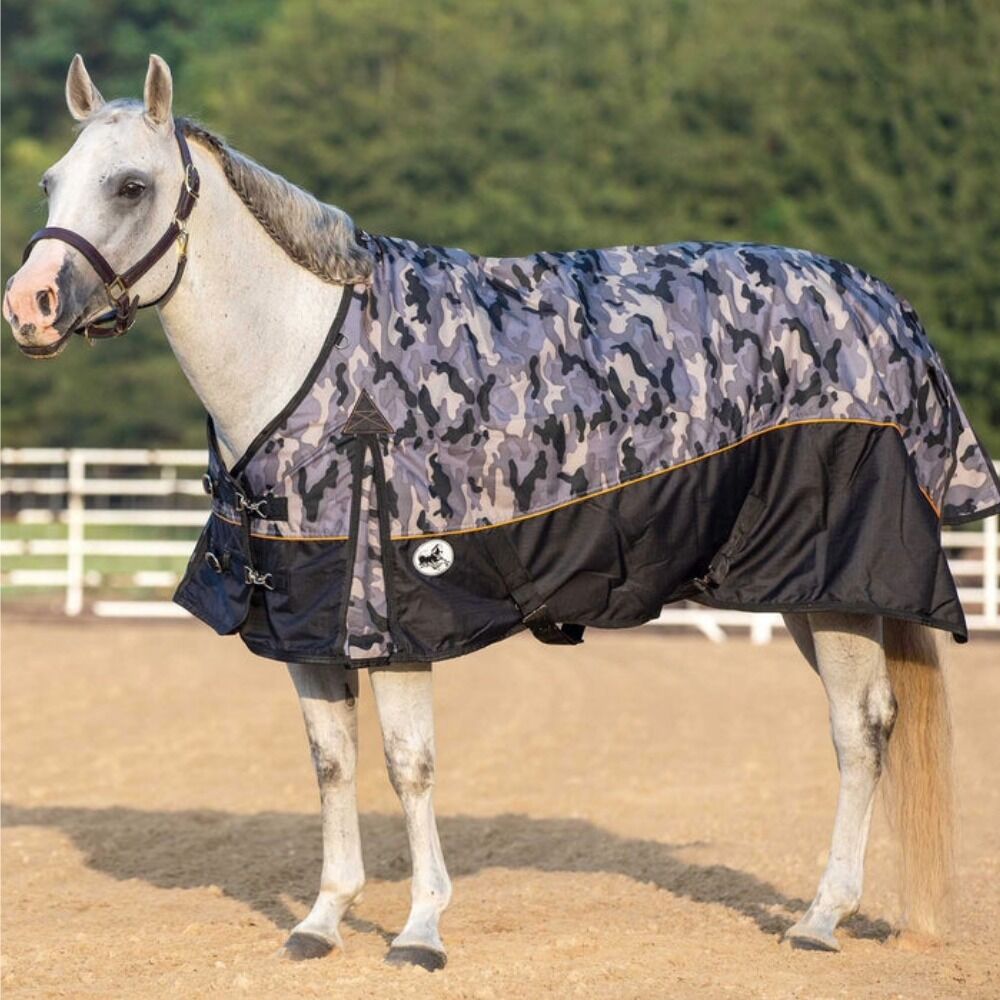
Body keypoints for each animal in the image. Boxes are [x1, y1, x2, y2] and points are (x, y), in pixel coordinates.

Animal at [5, 53, 987, 968]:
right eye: (52, 180)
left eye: (131, 186)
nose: (29, 306)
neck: (311, 361)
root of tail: (887, 309)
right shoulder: (303, 617)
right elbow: (332, 763)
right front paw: (322, 921)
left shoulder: (393, 612)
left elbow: (408, 766)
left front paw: (420, 930)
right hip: (805, 592)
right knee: (867, 724)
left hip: (840, 584)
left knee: (858, 731)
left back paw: (820, 919)